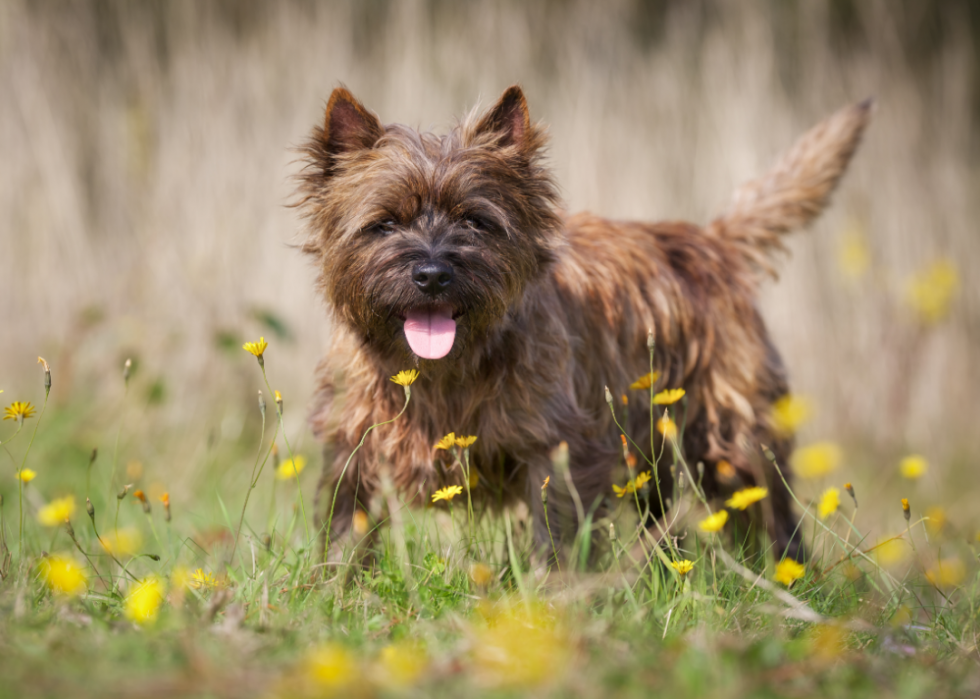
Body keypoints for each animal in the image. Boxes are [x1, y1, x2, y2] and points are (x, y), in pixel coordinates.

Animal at [294, 83, 868, 564]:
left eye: (474, 221)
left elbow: (556, 535)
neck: (441, 372)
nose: (432, 273)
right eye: (384, 223)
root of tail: (712, 240)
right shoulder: (352, 443)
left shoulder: (560, 448)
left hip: (731, 435)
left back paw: (785, 577)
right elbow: (344, 526)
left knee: (769, 511)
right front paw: (336, 588)